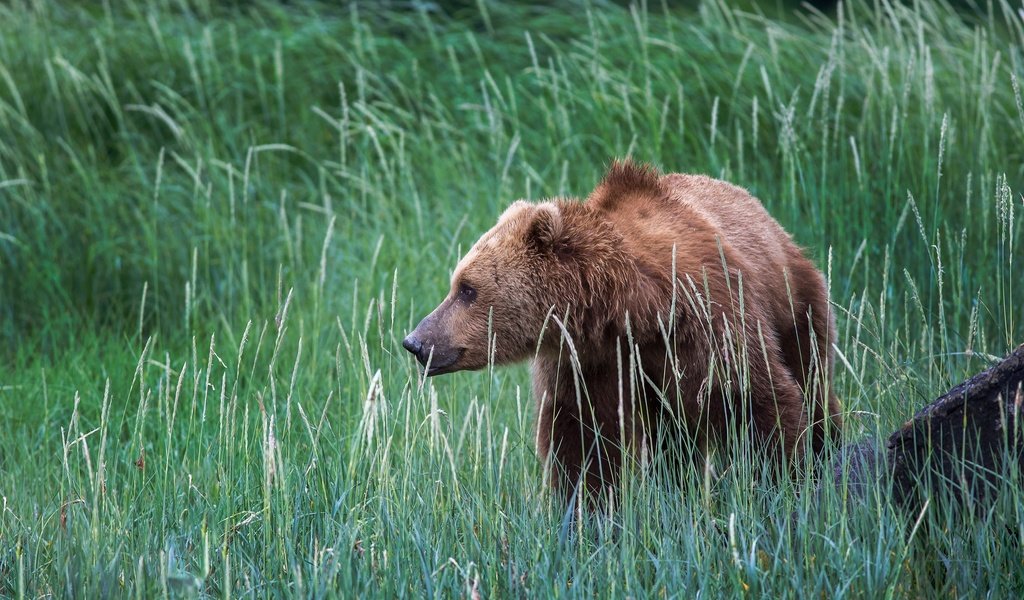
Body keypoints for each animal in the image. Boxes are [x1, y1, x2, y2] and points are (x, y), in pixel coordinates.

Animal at [399, 158, 839, 499]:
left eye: (467, 288)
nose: (416, 341)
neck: (627, 310)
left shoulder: (704, 319)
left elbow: (754, 399)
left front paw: (784, 482)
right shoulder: (586, 360)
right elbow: (581, 441)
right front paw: (582, 516)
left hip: (795, 304)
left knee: (811, 380)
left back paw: (829, 448)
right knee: (673, 439)